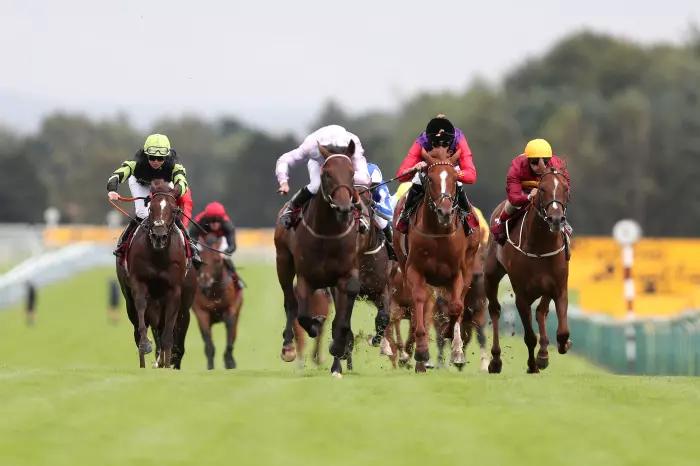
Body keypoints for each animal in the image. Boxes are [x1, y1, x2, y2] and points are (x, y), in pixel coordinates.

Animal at [116, 180, 196, 370]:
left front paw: (167, 361)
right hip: (130, 299)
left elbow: (168, 332)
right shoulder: (139, 284)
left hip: (184, 304)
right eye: (150, 208)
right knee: (139, 323)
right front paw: (146, 345)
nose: (159, 236)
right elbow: (141, 314)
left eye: (174, 210)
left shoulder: (174, 291)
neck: (159, 255)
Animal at [193, 235, 245, 370]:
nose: (205, 281)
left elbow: (230, 331)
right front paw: (210, 366)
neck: (214, 291)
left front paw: (229, 362)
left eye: (217, 260)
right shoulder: (201, 312)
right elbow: (208, 342)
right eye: (201, 258)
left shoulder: (230, 309)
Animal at [274, 141, 360, 374]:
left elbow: (341, 320)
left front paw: (337, 352)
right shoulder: (306, 277)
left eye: (351, 173)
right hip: (283, 261)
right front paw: (313, 326)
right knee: (290, 302)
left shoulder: (344, 277)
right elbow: (303, 315)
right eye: (327, 174)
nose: (344, 206)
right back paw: (288, 347)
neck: (327, 233)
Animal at [394, 147, 482, 374]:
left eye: (454, 178)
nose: (445, 211)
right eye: (430, 179)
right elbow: (419, 303)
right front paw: (421, 352)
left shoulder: (457, 272)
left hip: (467, 269)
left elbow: (456, 307)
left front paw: (452, 339)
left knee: (458, 303)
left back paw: (456, 350)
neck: (438, 233)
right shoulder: (415, 270)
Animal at [484, 169, 572, 374]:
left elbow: (562, 331)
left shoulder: (559, 287)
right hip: (491, 274)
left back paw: (544, 353)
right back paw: (495, 360)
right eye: (542, 188)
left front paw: (559, 347)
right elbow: (530, 337)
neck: (540, 245)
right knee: (495, 310)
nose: (556, 219)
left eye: (565, 188)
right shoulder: (522, 296)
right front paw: (532, 366)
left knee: (541, 311)